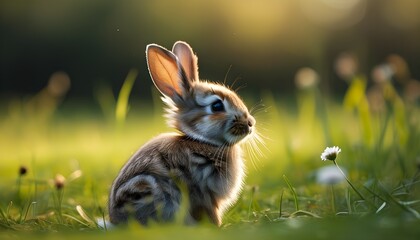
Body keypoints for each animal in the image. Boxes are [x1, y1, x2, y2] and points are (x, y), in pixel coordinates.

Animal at [108, 41, 256, 227]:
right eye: (216, 106)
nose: (250, 123)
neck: (202, 141)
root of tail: (115, 221)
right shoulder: (203, 194)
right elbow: (209, 212)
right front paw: (217, 227)